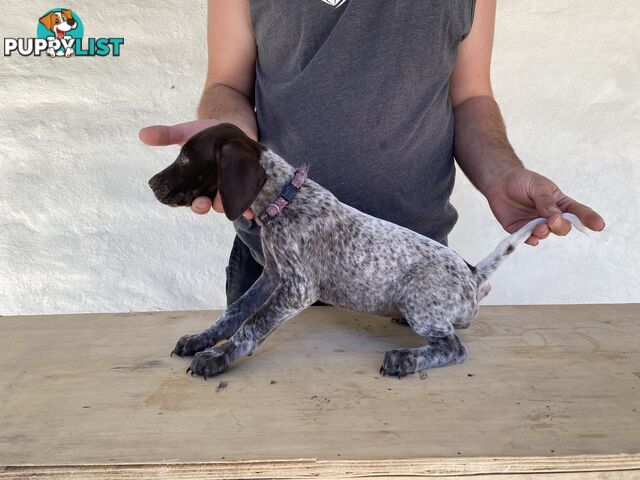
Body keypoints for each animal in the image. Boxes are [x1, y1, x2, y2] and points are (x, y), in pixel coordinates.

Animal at [148, 124, 588, 378]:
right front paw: (203, 339)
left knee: (455, 347)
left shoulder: (298, 289)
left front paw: (220, 357)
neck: (285, 199)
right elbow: (235, 312)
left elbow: (253, 326)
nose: (151, 183)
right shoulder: (272, 276)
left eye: (185, 156)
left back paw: (407, 359)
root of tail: (472, 273)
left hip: (418, 298)